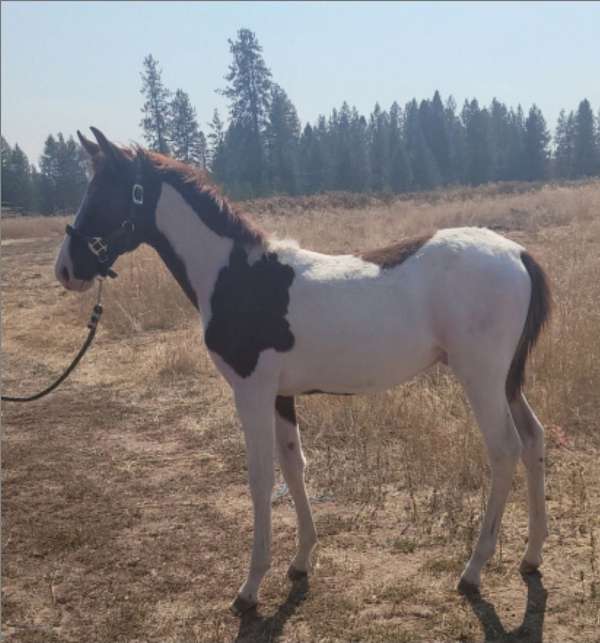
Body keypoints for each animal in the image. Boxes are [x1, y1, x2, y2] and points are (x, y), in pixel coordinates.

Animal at [55, 127, 551, 614]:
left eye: (103, 193)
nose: (66, 269)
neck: (238, 276)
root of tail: (519, 254)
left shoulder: (250, 391)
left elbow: (260, 478)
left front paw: (251, 586)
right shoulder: (280, 393)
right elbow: (294, 466)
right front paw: (300, 561)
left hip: (481, 378)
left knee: (505, 449)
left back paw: (473, 570)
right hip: (507, 381)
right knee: (533, 439)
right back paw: (530, 556)